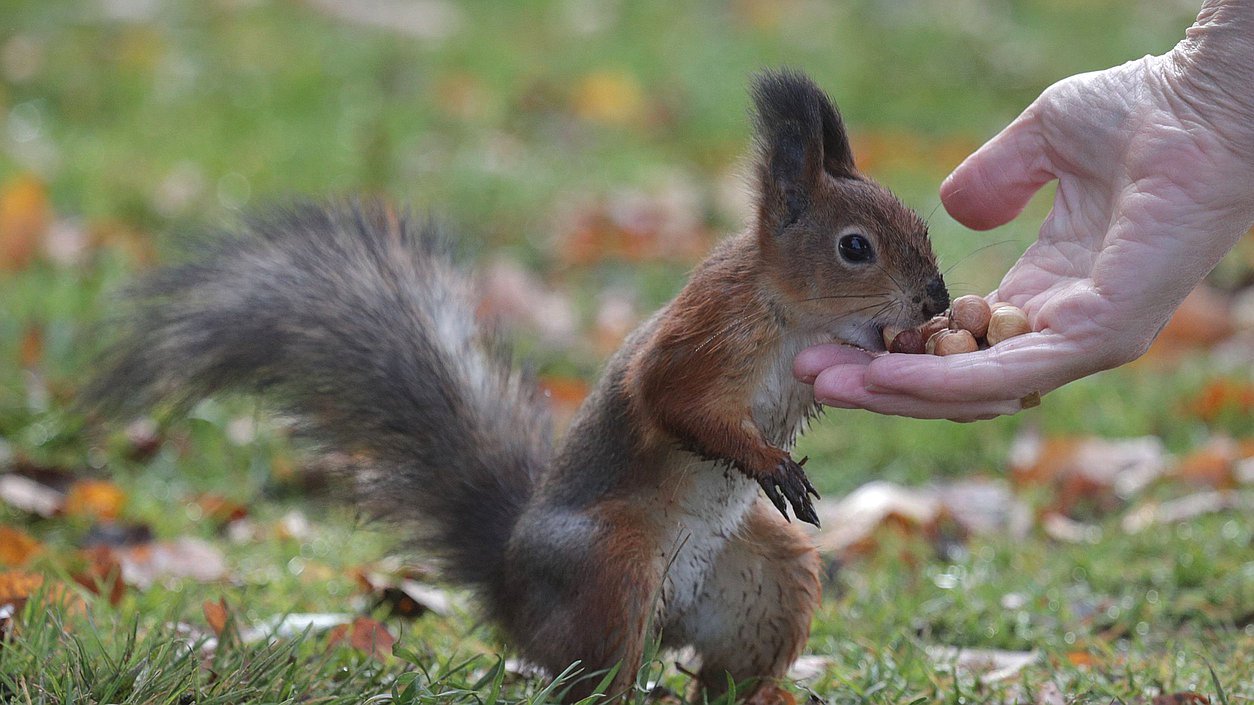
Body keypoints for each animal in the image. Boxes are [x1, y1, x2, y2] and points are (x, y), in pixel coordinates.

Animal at [88, 69, 943, 702]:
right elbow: (669, 400)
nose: (935, 301)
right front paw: (768, 462)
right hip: (612, 570)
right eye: (856, 247)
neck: (789, 312)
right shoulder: (703, 336)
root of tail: (512, 588)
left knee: (722, 673)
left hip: (767, 578)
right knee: (593, 676)